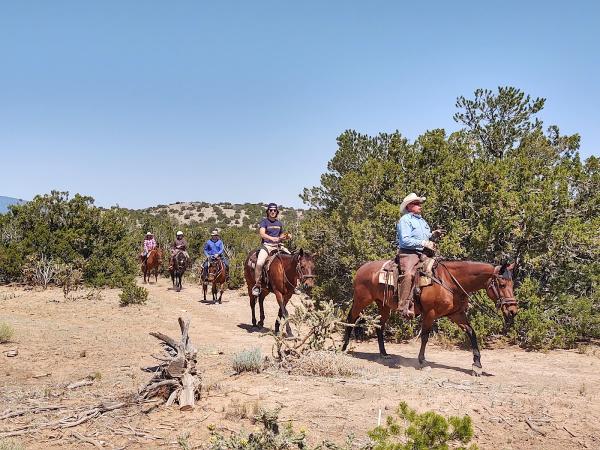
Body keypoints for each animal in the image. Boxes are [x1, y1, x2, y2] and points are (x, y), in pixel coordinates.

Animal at [340, 258, 516, 374]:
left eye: (512, 284)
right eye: (502, 285)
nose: (513, 310)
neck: (449, 282)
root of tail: (361, 269)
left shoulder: (456, 314)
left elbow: (471, 332)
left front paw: (477, 365)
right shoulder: (430, 314)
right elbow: (425, 336)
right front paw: (422, 361)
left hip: (383, 305)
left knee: (380, 326)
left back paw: (384, 354)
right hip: (361, 300)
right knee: (351, 319)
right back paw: (343, 349)